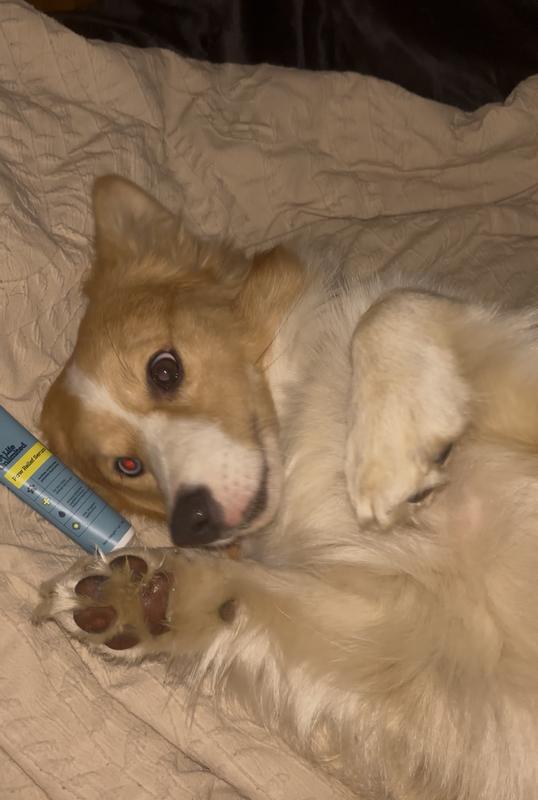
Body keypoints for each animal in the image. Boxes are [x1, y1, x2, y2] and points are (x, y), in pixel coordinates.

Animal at [36, 176, 538, 799]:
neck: (303, 430)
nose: (191, 523)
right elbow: (258, 600)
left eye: (164, 369)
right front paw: (148, 595)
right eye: (127, 465)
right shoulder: (433, 646)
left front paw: (391, 449)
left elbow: (393, 306)